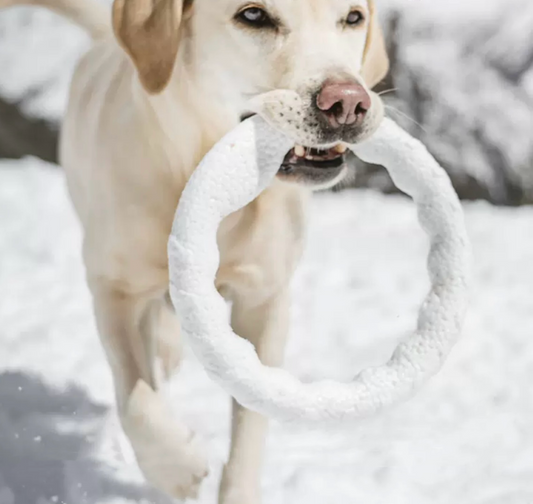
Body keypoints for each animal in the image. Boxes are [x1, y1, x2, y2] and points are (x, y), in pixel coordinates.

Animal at [2, 0, 388, 500]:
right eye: (253, 16)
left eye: (353, 18)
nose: (347, 101)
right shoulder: (113, 290)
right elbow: (136, 397)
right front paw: (177, 466)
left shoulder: (264, 300)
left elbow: (252, 413)